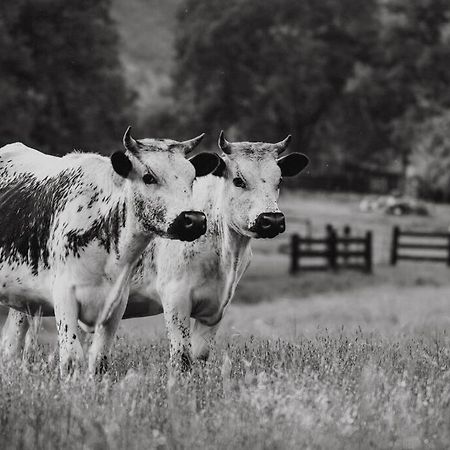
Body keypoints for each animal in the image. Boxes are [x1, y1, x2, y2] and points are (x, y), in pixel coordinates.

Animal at [0, 128, 218, 374]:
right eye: (149, 177)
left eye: (192, 177)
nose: (194, 220)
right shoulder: (64, 296)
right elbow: (72, 358)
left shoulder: (116, 305)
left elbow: (100, 360)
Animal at [121, 131, 308, 370]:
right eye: (239, 180)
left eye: (280, 179)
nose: (272, 220)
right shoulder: (175, 298)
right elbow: (182, 357)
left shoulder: (216, 307)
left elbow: (200, 354)